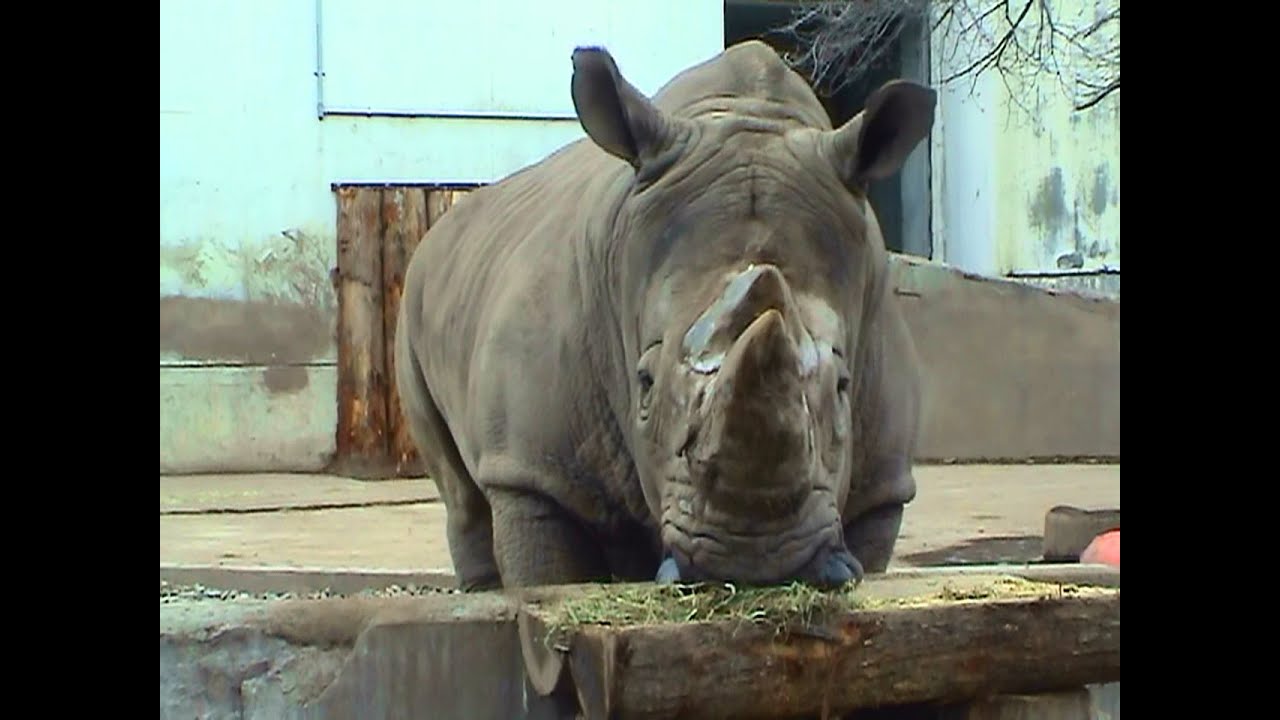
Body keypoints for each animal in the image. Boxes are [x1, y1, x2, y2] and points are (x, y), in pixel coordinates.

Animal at [395, 40, 935, 591]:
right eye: (645, 383)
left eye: (844, 385)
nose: (755, 561)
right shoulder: (533, 470)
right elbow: (547, 573)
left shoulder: (882, 485)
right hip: (415, 298)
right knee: (459, 489)